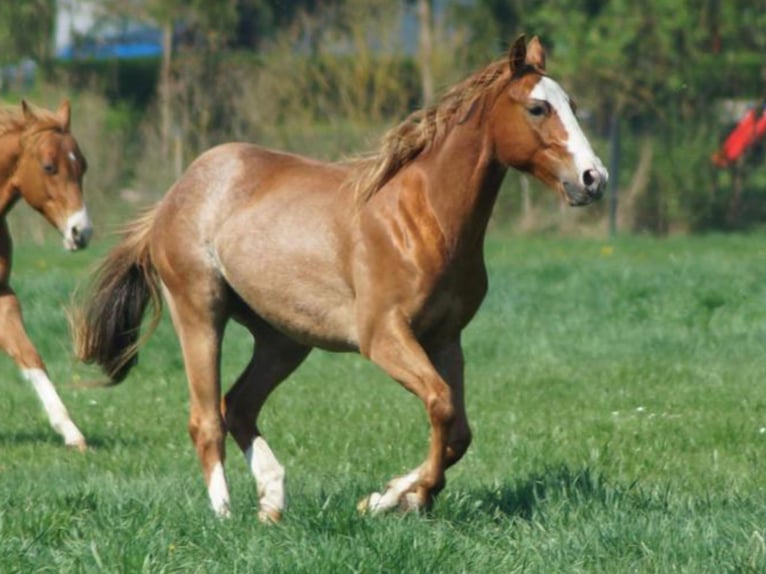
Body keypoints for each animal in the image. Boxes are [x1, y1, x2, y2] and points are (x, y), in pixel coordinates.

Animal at [0, 100, 92, 451]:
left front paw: (71, 432)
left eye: (83, 166)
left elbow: (30, 356)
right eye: (49, 167)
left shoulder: (3, 296)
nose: (81, 231)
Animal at [73, 35, 606, 519]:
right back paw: (225, 516)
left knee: (238, 405)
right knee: (205, 418)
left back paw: (272, 502)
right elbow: (441, 405)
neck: (422, 217)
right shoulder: (384, 336)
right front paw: (402, 498)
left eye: (573, 105)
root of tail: (175, 193)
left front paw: (389, 496)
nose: (593, 178)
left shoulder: (445, 339)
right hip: (200, 310)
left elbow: (458, 430)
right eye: (537, 107)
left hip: (283, 338)